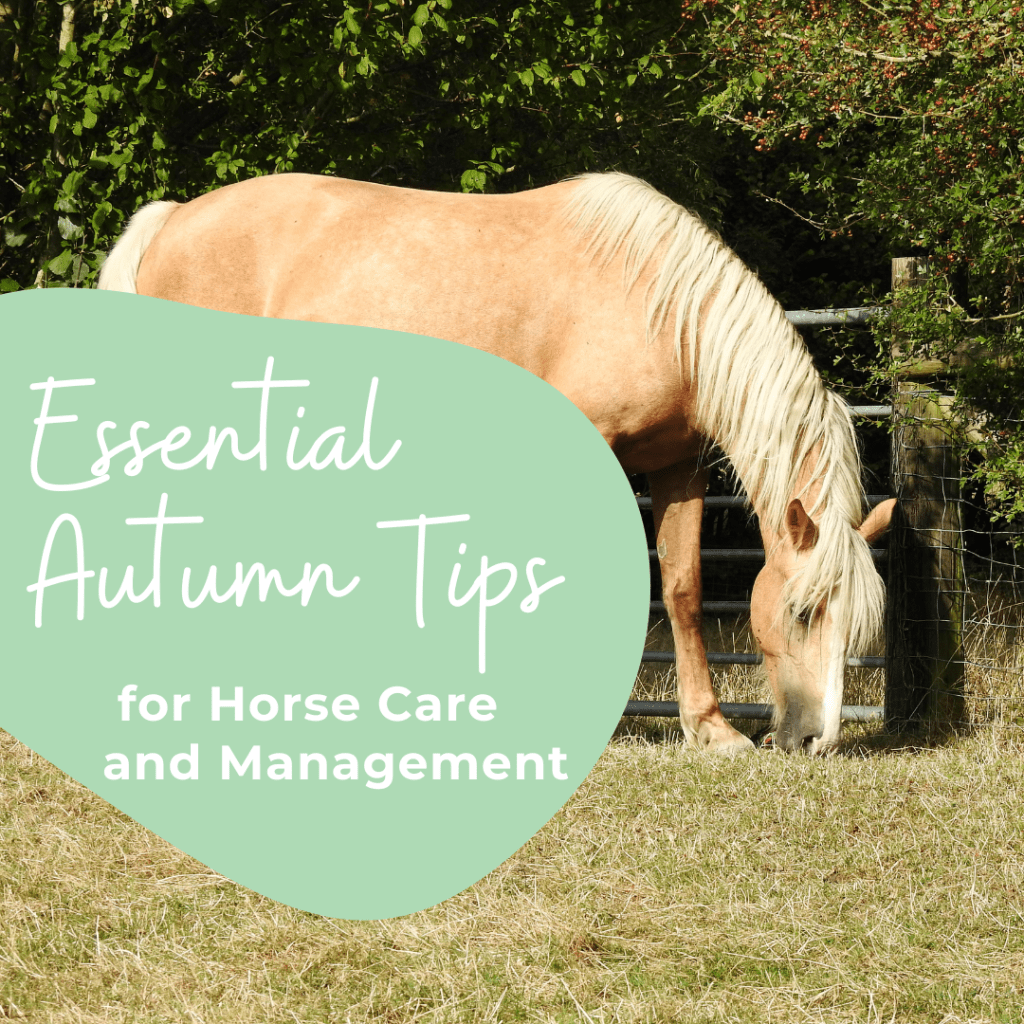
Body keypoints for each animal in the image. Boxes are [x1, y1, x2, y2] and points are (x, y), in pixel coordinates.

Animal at [98, 171, 894, 754]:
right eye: (802, 611)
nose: (815, 739)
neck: (657, 304)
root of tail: (172, 219)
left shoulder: (677, 467)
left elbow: (683, 591)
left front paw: (711, 729)